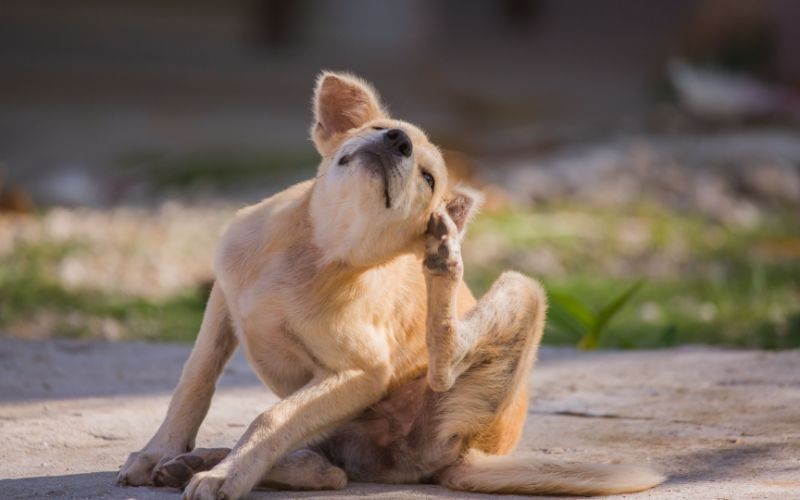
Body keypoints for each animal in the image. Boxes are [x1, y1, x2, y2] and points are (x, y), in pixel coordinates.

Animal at [115, 71, 664, 500]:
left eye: (427, 178)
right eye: (382, 129)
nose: (397, 141)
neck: (315, 251)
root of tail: (469, 455)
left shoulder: (360, 372)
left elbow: (271, 418)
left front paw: (226, 476)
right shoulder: (223, 303)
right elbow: (194, 382)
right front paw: (159, 452)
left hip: (517, 298)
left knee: (403, 401)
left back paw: (444, 263)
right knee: (326, 467)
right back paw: (199, 461)